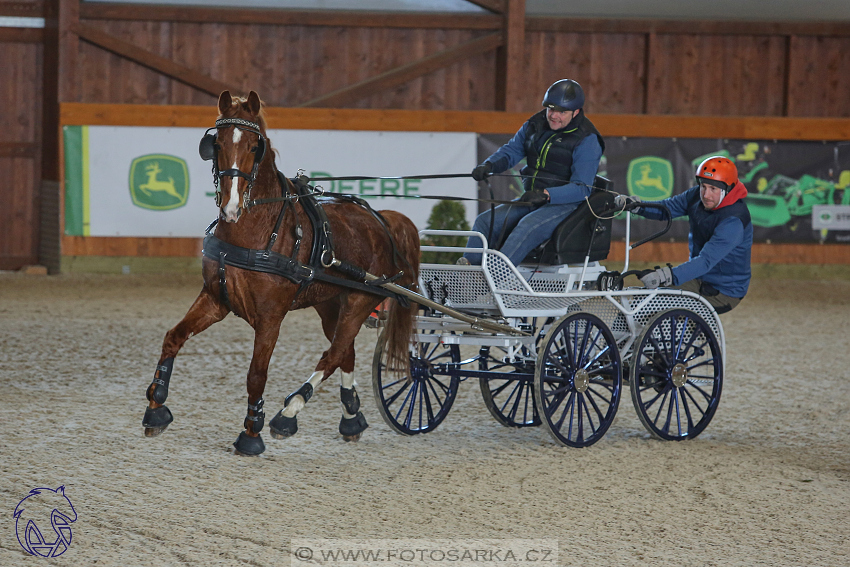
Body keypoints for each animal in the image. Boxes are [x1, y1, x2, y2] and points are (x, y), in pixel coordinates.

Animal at [142, 93, 420, 458]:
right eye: (217, 144)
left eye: (253, 146)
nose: (231, 207)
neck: (254, 233)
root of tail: (381, 219)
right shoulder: (215, 299)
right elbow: (173, 337)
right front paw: (155, 407)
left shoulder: (270, 318)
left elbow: (256, 375)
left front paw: (252, 432)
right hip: (330, 304)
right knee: (345, 350)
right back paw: (351, 419)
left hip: (361, 300)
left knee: (333, 354)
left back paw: (288, 414)